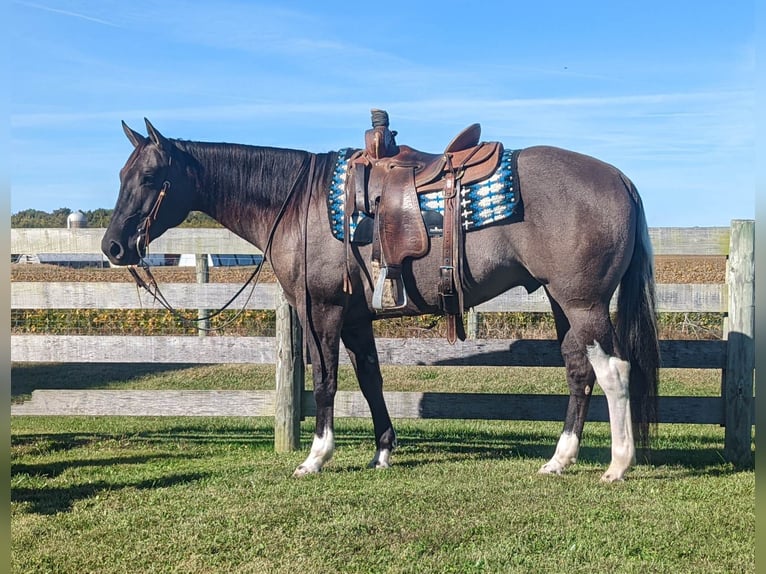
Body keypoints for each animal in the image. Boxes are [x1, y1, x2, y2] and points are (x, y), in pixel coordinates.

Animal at [102, 119, 664, 484]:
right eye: (121, 176)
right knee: (579, 371)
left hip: (584, 303)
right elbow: (370, 379)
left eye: (149, 178)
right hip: (563, 303)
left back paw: (618, 465)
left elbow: (326, 382)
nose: (113, 247)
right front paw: (383, 453)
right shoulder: (356, 318)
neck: (299, 202)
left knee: (614, 372)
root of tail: (620, 179)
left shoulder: (321, 310)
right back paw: (559, 460)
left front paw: (316, 457)